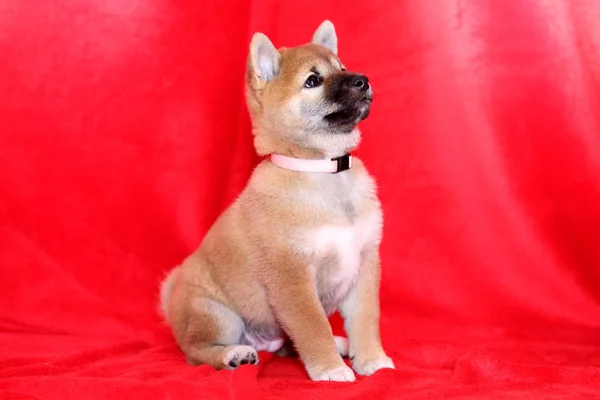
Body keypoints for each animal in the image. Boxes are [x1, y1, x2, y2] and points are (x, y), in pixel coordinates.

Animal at [159, 20, 394, 382]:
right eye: (312, 81)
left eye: (341, 68)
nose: (362, 80)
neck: (323, 171)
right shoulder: (291, 276)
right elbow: (313, 326)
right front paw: (330, 369)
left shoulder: (364, 264)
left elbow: (366, 320)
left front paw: (371, 359)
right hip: (215, 314)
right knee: (196, 352)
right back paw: (233, 354)